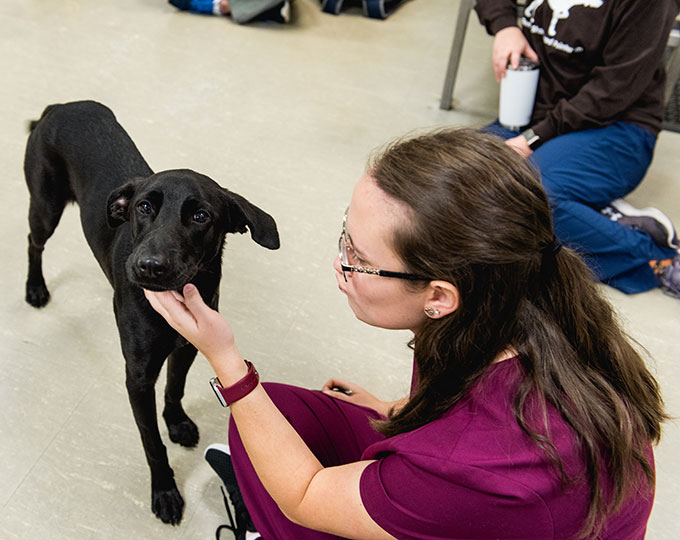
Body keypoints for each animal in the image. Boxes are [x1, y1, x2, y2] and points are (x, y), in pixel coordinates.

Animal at [23, 100, 278, 524]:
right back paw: (35, 287)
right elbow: (151, 442)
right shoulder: (138, 377)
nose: (148, 267)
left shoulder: (188, 344)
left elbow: (175, 387)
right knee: (33, 241)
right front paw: (165, 492)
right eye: (144, 207)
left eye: (201, 216)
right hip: (45, 206)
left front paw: (176, 421)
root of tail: (62, 106)